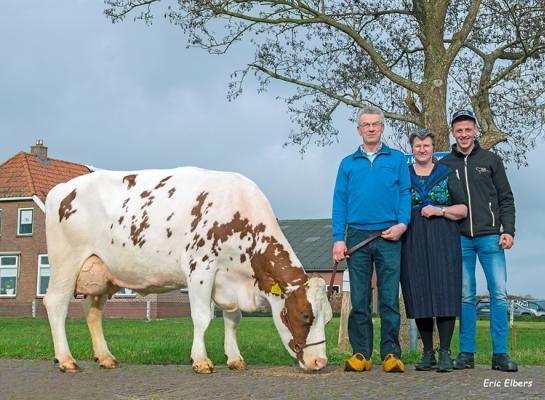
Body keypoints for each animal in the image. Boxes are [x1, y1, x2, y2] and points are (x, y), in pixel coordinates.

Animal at [43, 166, 332, 372]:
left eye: (328, 318)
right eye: (305, 315)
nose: (320, 362)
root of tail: (63, 187)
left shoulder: (228, 280)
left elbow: (233, 319)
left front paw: (235, 358)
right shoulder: (200, 268)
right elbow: (202, 317)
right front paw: (201, 360)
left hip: (101, 273)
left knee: (92, 311)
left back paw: (105, 358)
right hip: (66, 262)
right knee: (56, 303)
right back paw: (66, 359)